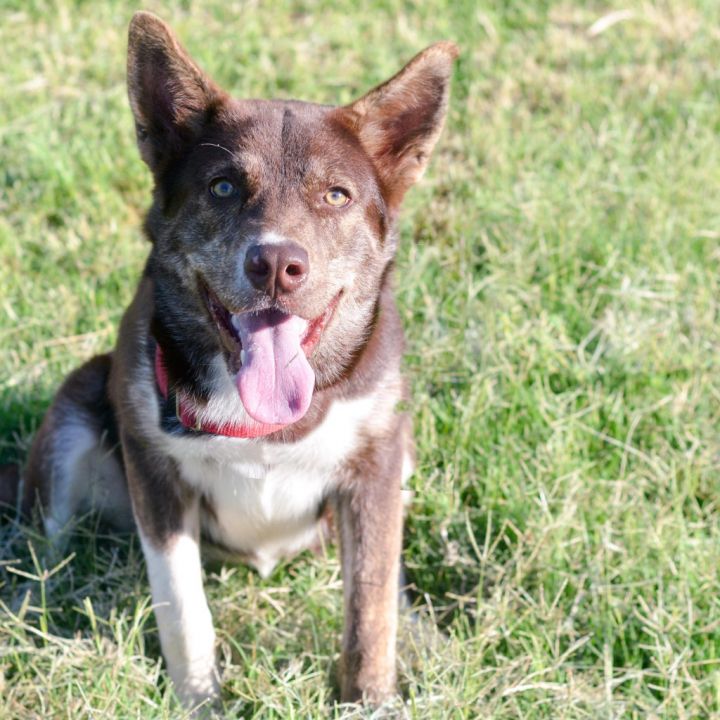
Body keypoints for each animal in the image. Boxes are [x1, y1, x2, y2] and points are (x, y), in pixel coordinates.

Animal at [12, 9, 456, 708]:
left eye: (336, 196)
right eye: (222, 187)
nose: (275, 263)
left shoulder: (375, 467)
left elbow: (372, 601)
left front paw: (370, 699)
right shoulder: (156, 479)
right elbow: (184, 609)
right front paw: (199, 703)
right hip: (75, 408)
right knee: (43, 546)